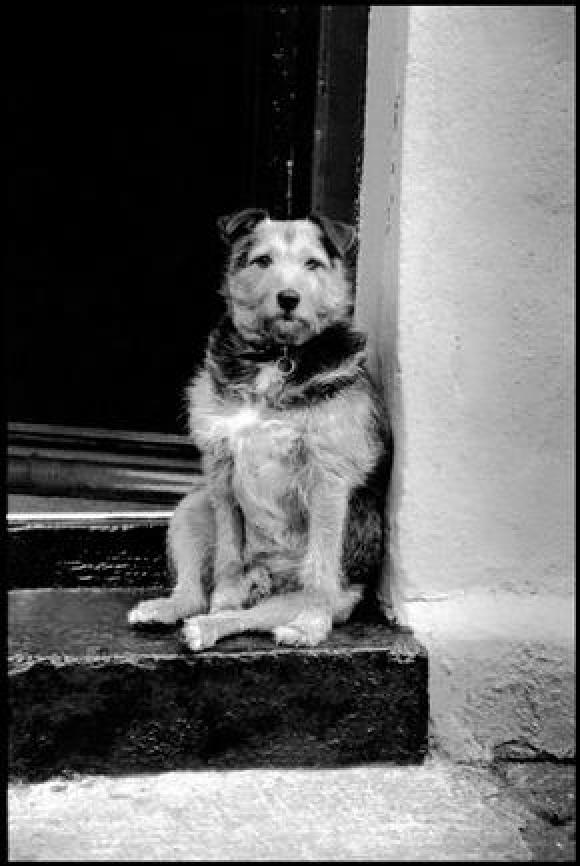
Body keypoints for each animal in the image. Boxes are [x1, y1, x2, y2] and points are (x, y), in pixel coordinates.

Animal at [126, 209, 390, 648]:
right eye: (262, 260)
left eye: (313, 264)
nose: (288, 298)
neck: (277, 356)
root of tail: (266, 579)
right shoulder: (221, 470)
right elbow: (228, 556)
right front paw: (225, 598)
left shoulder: (328, 478)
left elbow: (320, 567)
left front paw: (311, 625)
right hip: (191, 508)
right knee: (195, 592)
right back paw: (181, 609)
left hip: (312, 594)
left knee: (260, 612)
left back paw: (259, 623)